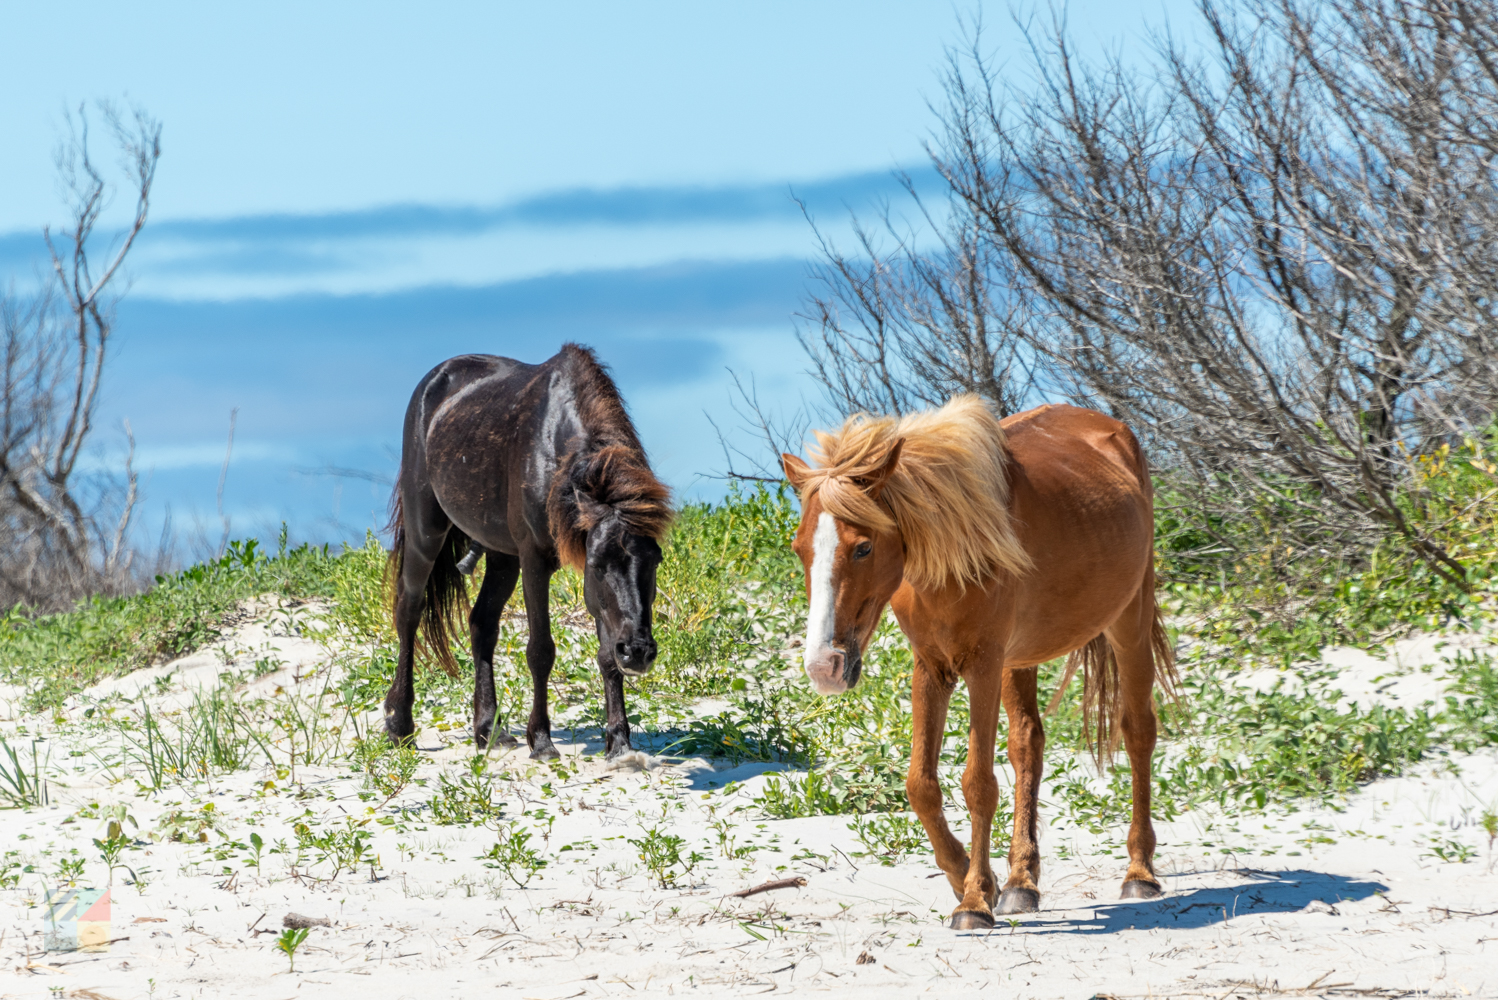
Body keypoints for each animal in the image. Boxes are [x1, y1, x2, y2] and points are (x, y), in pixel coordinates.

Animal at [386, 344, 674, 757]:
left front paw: (619, 741)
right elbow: (541, 650)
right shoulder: (535, 560)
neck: (557, 448)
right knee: (409, 610)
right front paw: (540, 739)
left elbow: (606, 656)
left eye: (655, 561)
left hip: (501, 555)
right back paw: (400, 725)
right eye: (598, 564)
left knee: (482, 624)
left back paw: (488, 730)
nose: (637, 651)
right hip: (427, 531)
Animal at [778, 395, 1174, 928]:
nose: (824, 666)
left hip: (1127, 623)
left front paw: (973, 901)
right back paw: (1021, 881)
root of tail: (1109, 427)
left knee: (1137, 733)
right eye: (800, 548)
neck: (949, 555)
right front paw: (969, 876)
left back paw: (1139, 872)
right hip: (1019, 658)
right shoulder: (933, 668)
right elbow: (921, 786)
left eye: (862, 546)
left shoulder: (982, 665)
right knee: (1028, 743)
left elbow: (978, 784)